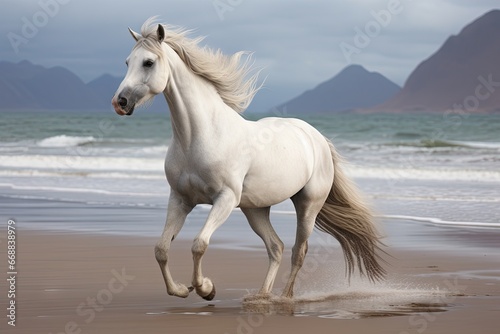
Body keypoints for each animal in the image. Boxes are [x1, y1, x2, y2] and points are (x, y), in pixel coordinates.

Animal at [112, 17, 386, 300]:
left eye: (148, 62)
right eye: (127, 62)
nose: (120, 102)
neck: (200, 136)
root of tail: (317, 138)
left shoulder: (225, 199)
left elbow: (199, 245)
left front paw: (206, 288)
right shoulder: (180, 200)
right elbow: (161, 249)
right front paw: (181, 289)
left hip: (308, 205)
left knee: (298, 251)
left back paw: (284, 298)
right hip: (255, 209)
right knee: (275, 246)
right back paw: (261, 296)